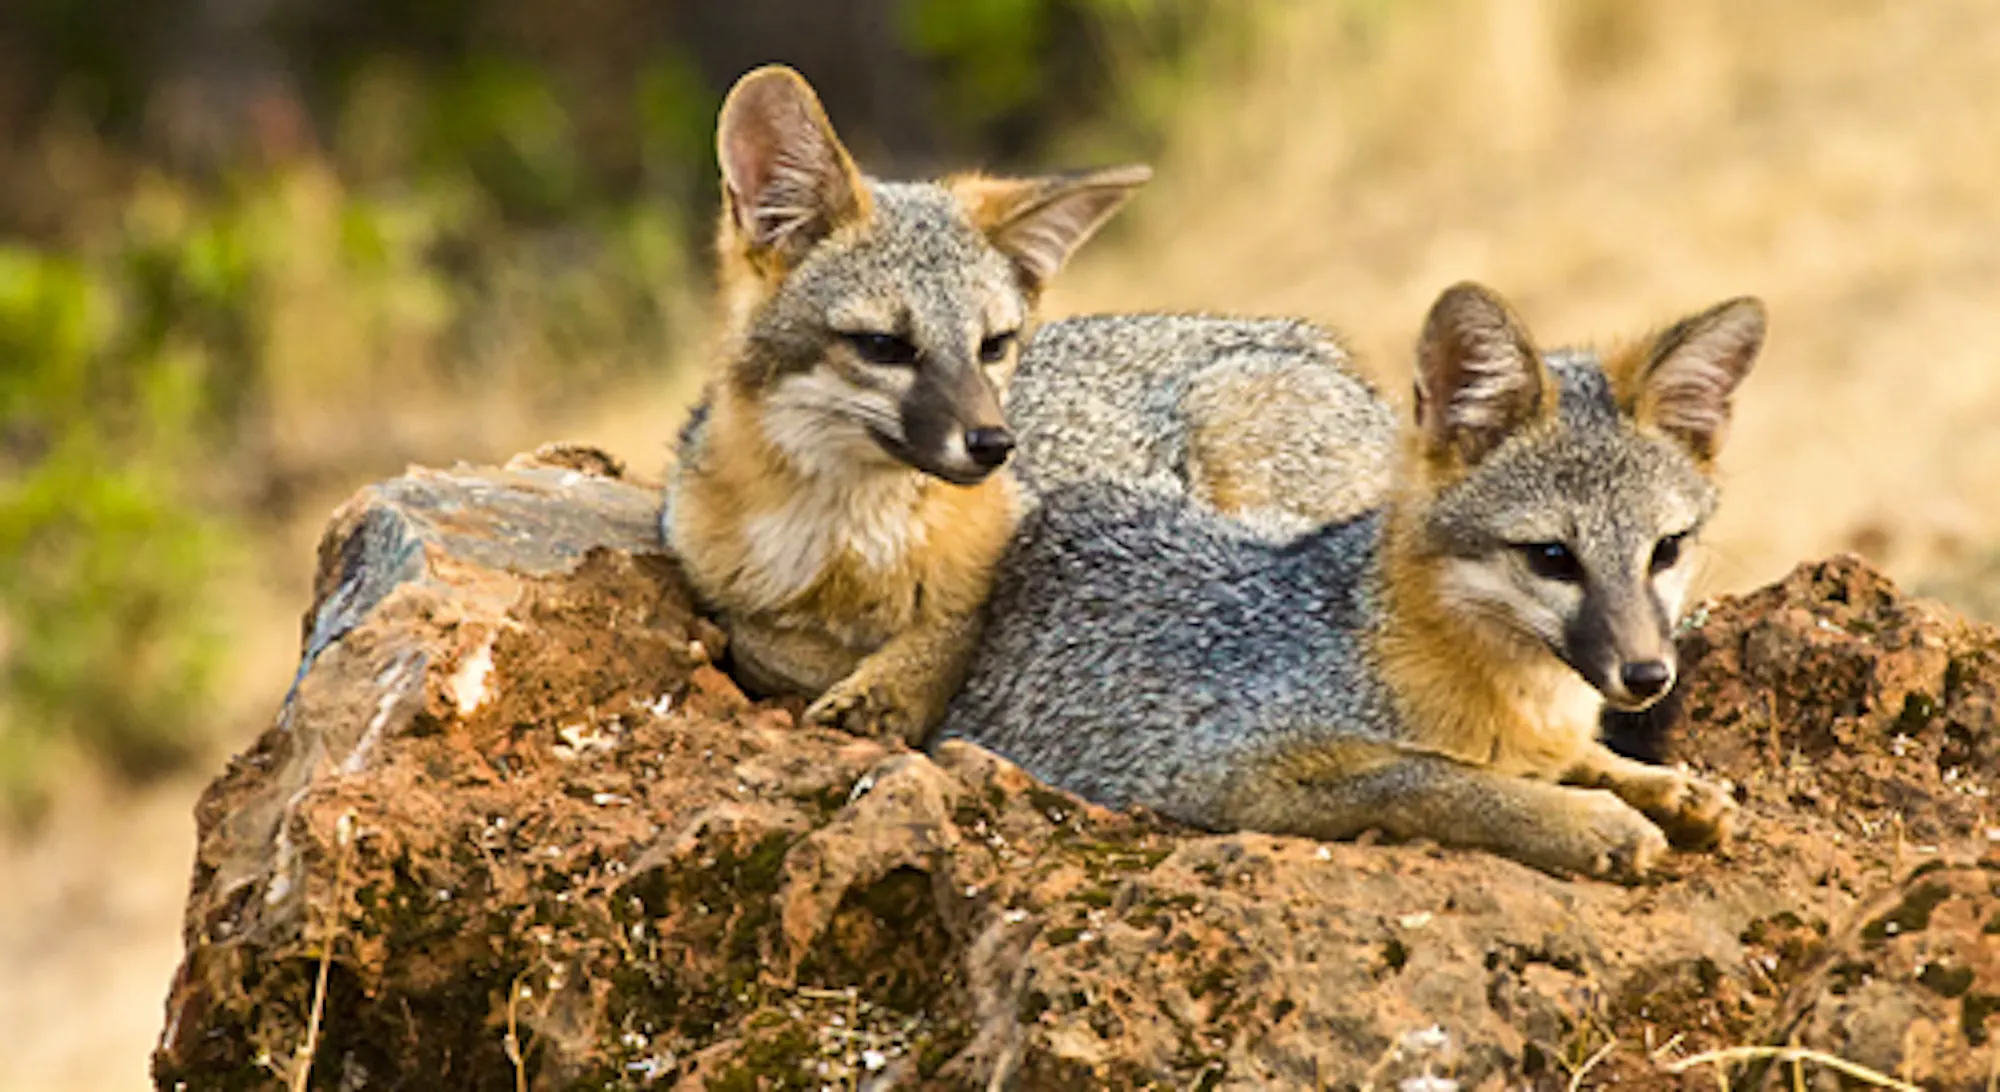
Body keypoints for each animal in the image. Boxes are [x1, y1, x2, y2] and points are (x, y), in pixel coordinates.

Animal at [661, 65, 1148, 745]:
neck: (849, 551)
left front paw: (885, 689)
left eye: (994, 345)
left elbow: (951, 629)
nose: (996, 445)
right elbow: (766, 642)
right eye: (883, 346)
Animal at [942, 281, 1766, 880]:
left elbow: (1563, 758)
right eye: (1553, 557)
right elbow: (1431, 779)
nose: (1648, 674)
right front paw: (1584, 820)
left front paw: (1662, 786)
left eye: (1665, 550)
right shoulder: (1219, 770)